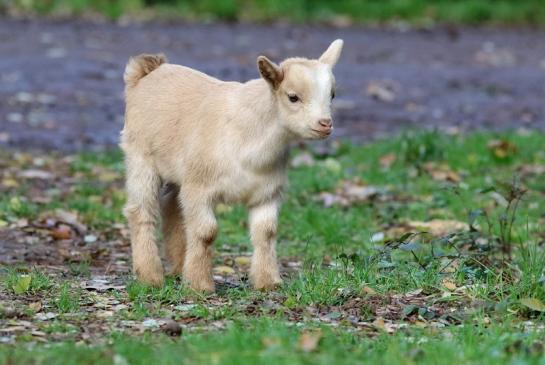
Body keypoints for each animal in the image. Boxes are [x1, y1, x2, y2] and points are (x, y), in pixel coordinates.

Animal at [120, 39, 342, 290]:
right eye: (293, 97)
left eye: (332, 95)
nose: (325, 124)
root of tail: (147, 71)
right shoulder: (200, 188)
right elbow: (206, 232)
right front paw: (200, 285)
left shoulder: (266, 192)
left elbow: (266, 232)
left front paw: (268, 281)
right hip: (140, 157)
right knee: (141, 211)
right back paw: (150, 276)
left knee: (173, 207)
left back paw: (177, 267)